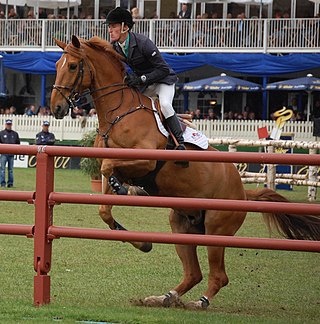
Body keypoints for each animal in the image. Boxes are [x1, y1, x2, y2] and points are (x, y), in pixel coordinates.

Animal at [49, 34, 320, 308]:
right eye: (57, 66)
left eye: (72, 66)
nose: (56, 108)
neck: (119, 113)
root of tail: (243, 193)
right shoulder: (113, 166)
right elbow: (105, 206)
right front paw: (142, 242)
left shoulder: (145, 161)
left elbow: (108, 169)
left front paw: (128, 190)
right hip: (181, 224)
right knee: (193, 272)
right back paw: (164, 297)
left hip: (216, 228)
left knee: (218, 275)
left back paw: (200, 302)